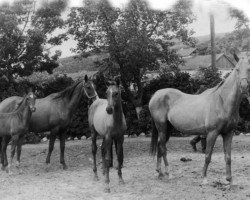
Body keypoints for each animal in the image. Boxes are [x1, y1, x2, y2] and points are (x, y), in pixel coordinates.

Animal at [148, 55, 250, 185]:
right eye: (237, 69)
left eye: (249, 69)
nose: (244, 87)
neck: (222, 102)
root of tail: (156, 94)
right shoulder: (212, 133)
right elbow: (208, 155)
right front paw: (204, 178)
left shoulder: (228, 133)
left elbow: (228, 157)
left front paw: (229, 179)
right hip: (161, 127)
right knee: (163, 148)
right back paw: (168, 173)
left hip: (168, 128)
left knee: (160, 146)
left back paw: (160, 173)